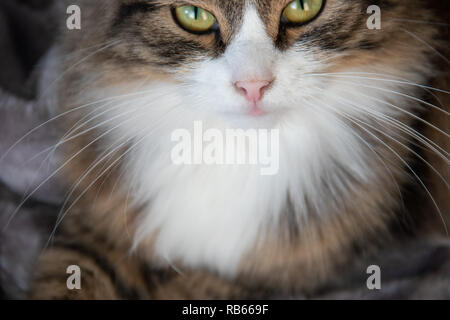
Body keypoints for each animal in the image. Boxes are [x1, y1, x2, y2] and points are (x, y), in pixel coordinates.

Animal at [26, 0, 448, 300]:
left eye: (303, 5)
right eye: (194, 14)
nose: (253, 85)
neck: (236, 150)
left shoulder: (279, 265)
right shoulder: (102, 223)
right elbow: (67, 277)